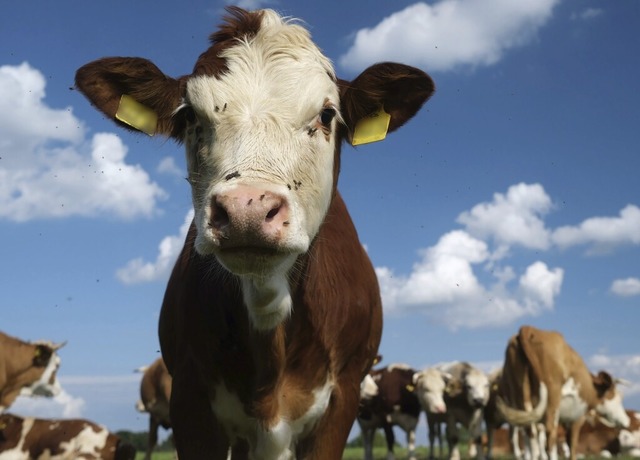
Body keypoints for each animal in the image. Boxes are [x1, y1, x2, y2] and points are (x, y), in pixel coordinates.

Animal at [496, 326, 632, 460]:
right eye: (618, 398)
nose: (627, 421)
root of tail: (529, 328)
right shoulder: (577, 417)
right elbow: (572, 444)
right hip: (552, 397)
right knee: (550, 435)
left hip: (522, 397)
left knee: (530, 434)